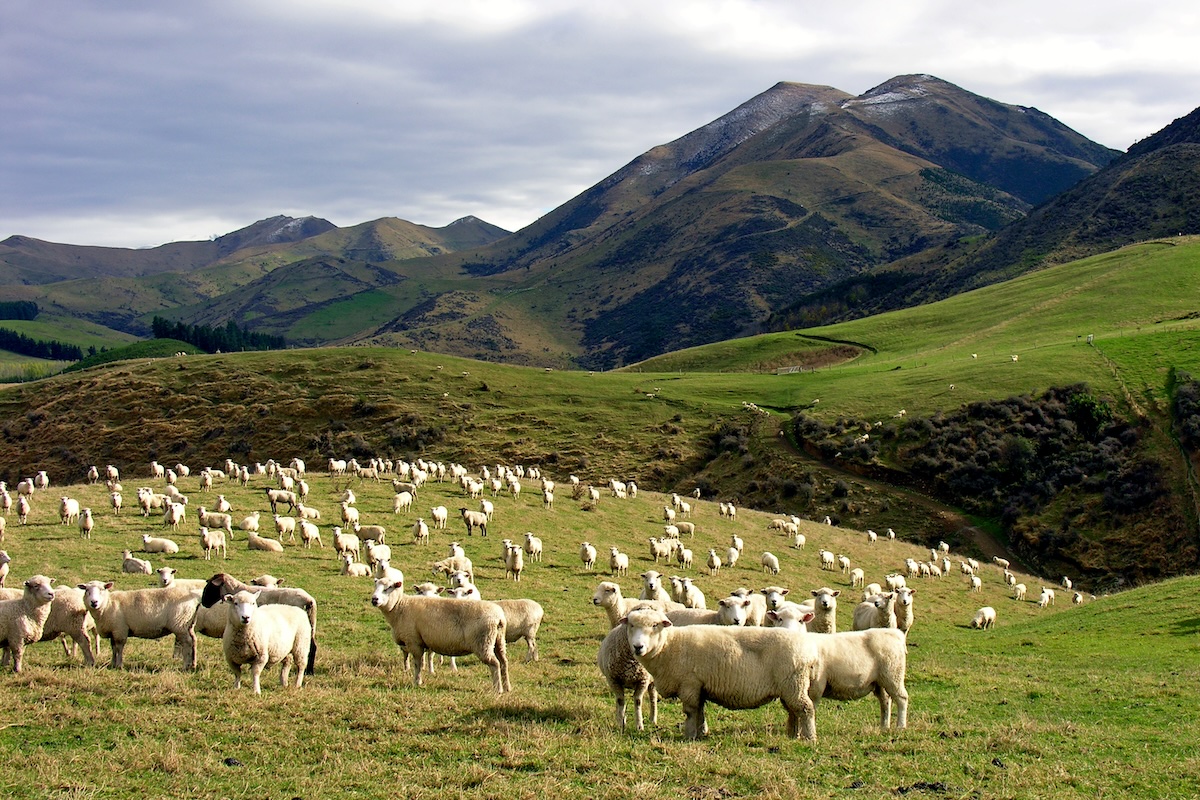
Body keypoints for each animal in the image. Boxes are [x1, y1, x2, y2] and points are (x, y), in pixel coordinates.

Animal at [370, 577, 510, 693]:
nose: (374, 599)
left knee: (495, 664)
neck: (399, 606)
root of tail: (498, 617)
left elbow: (417, 663)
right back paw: (507, 687)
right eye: (375, 586)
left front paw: (417, 682)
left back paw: (498, 689)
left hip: (483, 643)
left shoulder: (414, 641)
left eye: (389, 587)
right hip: (499, 641)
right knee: (503, 662)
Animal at [622, 607, 819, 740]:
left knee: (806, 709)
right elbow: (700, 711)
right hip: (789, 688)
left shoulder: (690, 683)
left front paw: (689, 735)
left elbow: (690, 712)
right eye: (631, 625)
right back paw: (792, 734)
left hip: (794, 684)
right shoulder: (700, 686)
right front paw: (701, 732)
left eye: (655, 625)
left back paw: (809, 738)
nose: (638, 647)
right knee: (793, 711)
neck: (669, 645)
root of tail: (808, 651)